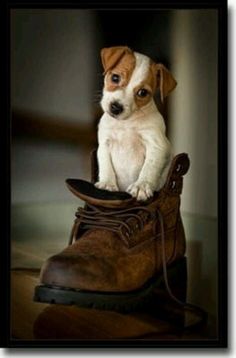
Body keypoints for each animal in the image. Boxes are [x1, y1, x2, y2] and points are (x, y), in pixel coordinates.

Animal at [95, 46, 176, 201]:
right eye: (115, 78)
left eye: (142, 92)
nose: (116, 107)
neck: (126, 123)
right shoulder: (104, 144)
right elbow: (106, 165)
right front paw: (107, 183)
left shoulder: (156, 145)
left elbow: (149, 168)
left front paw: (141, 186)